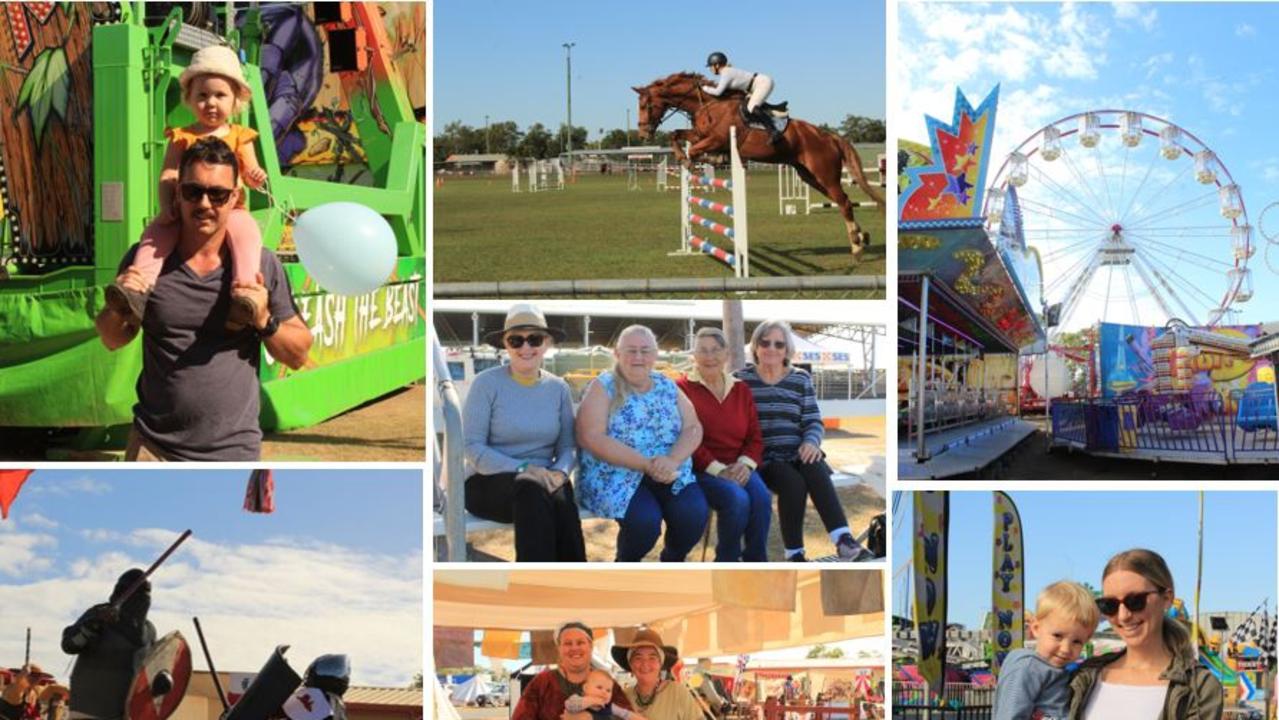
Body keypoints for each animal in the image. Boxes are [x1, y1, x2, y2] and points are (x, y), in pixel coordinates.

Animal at [634, 70, 885, 260]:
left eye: (646, 105)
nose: (643, 133)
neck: (708, 104)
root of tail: (830, 136)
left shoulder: (716, 138)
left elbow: (695, 150)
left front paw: (696, 162)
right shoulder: (699, 134)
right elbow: (676, 135)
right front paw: (693, 158)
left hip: (825, 174)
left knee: (844, 202)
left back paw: (856, 247)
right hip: (810, 176)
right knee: (843, 201)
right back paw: (862, 237)